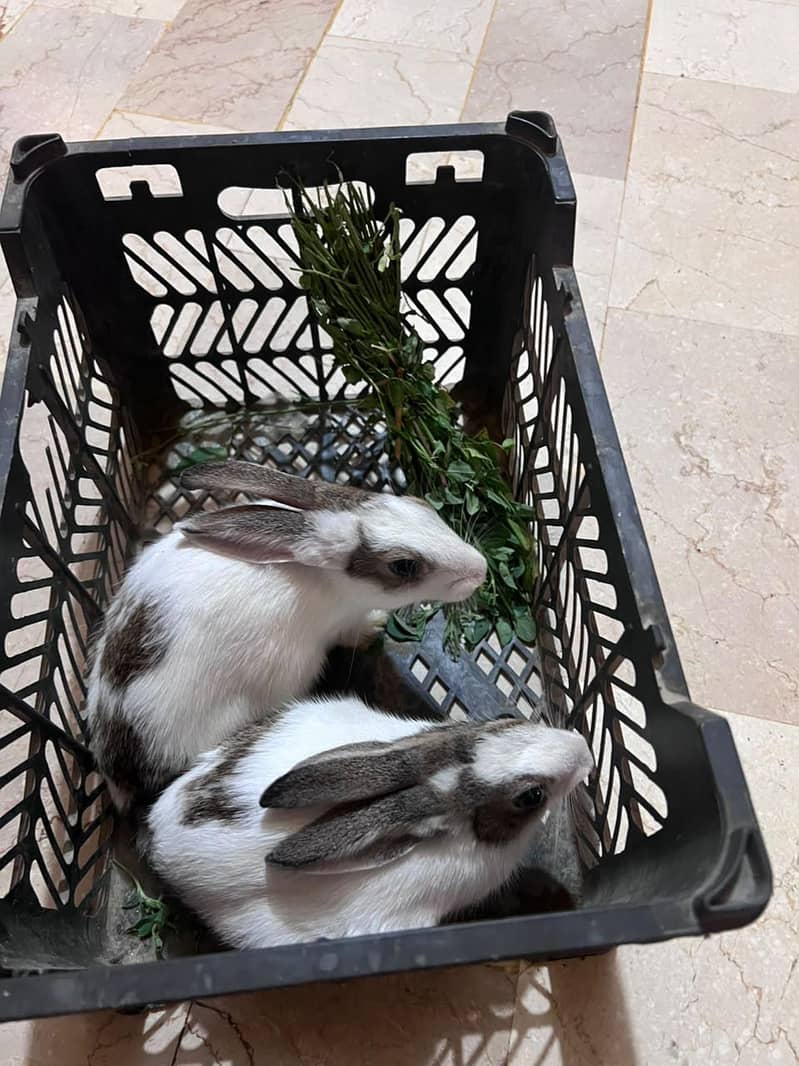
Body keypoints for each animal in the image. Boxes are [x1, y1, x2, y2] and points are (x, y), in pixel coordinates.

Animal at [85, 461, 487, 812]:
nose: (480, 568)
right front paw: (376, 626)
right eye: (404, 566)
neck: (324, 576)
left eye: (418, 504)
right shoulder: (341, 622)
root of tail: (122, 774)